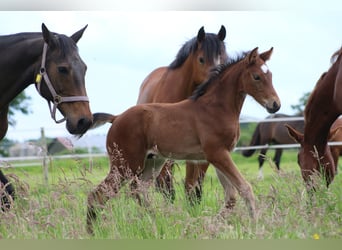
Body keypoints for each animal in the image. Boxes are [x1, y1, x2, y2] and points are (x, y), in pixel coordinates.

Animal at [86, 47, 280, 234]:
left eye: (270, 75)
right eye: (256, 76)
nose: (275, 104)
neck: (216, 108)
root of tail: (116, 118)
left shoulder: (220, 155)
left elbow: (231, 196)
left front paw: (212, 224)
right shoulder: (217, 153)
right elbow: (245, 188)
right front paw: (256, 225)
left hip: (152, 162)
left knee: (139, 191)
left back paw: (158, 222)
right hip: (125, 165)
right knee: (97, 195)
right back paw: (91, 232)